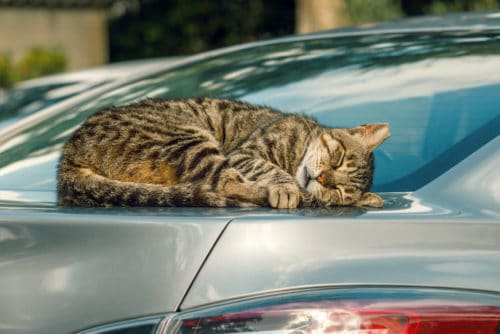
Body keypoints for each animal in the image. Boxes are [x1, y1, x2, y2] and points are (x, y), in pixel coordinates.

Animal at [56, 96, 388, 209]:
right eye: (338, 158)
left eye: (339, 191)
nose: (321, 179)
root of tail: (69, 156)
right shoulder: (248, 154)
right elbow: (272, 170)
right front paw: (286, 187)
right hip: (188, 138)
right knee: (226, 181)